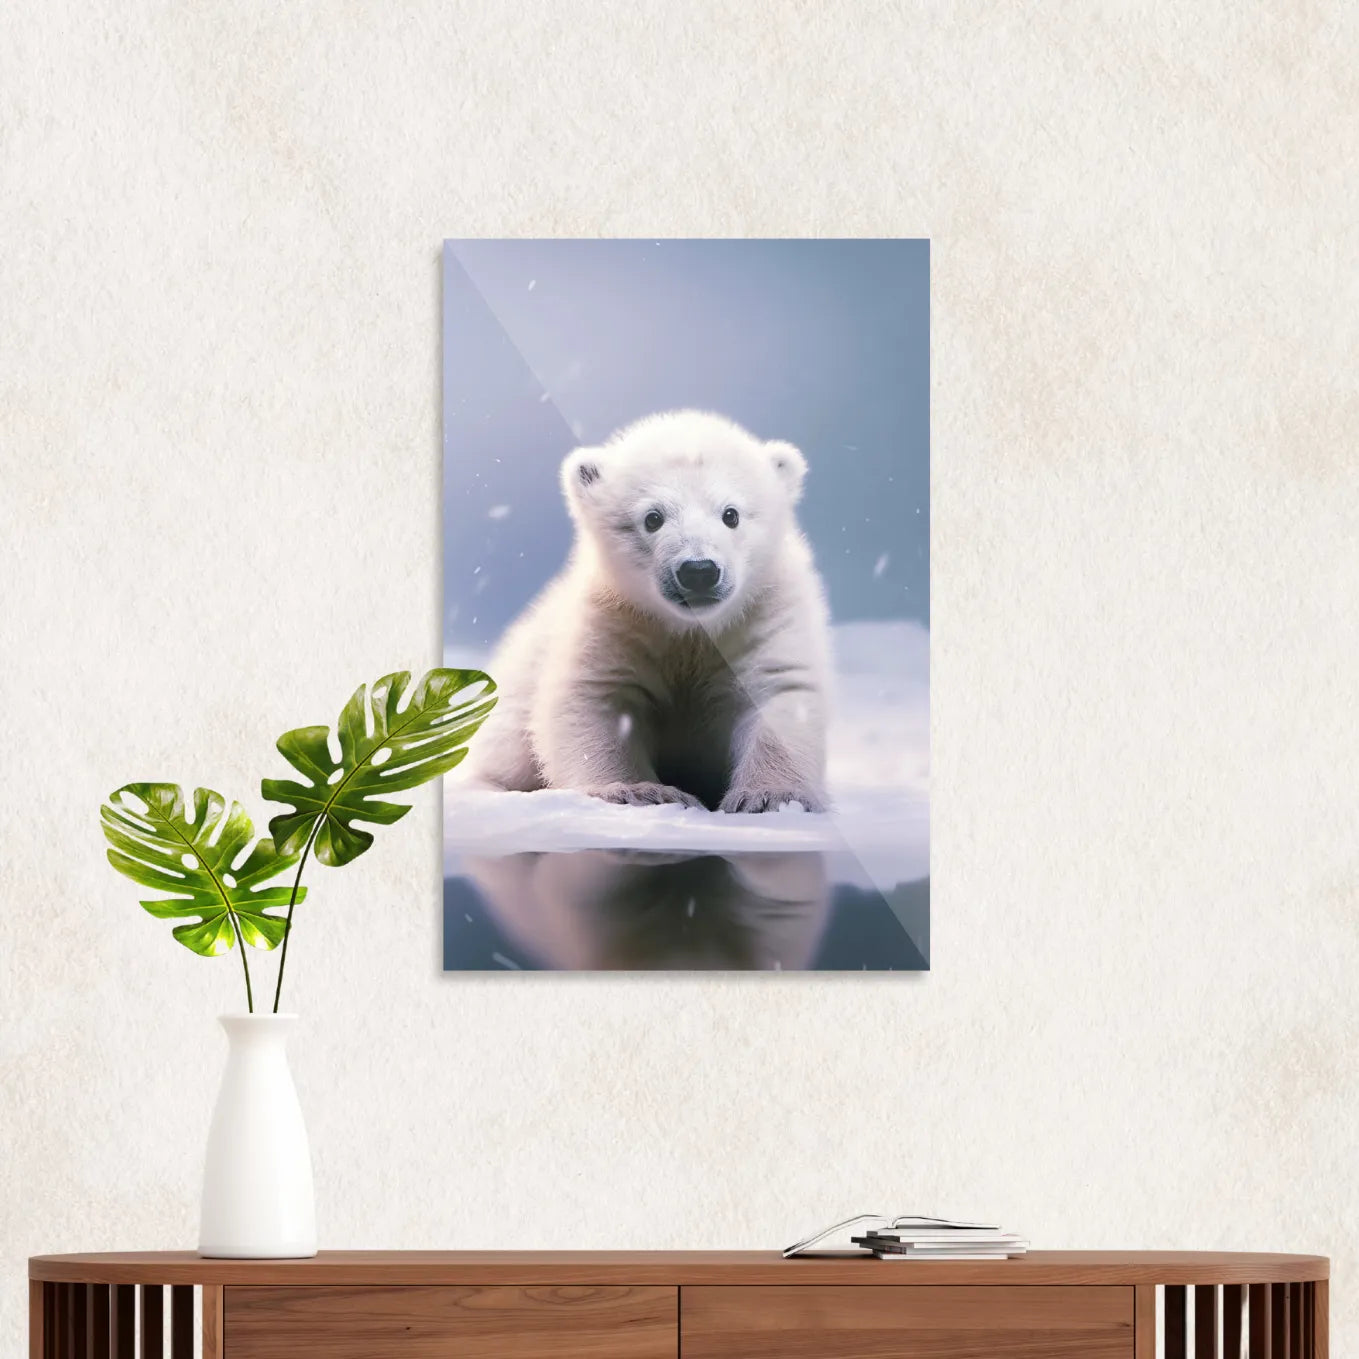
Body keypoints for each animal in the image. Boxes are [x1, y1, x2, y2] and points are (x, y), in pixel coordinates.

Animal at [463, 409, 832, 813]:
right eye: (653, 518)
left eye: (731, 514)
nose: (699, 571)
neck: (691, 630)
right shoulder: (614, 620)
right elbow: (598, 699)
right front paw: (641, 791)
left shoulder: (764, 612)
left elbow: (779, 689)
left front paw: (770, 797)